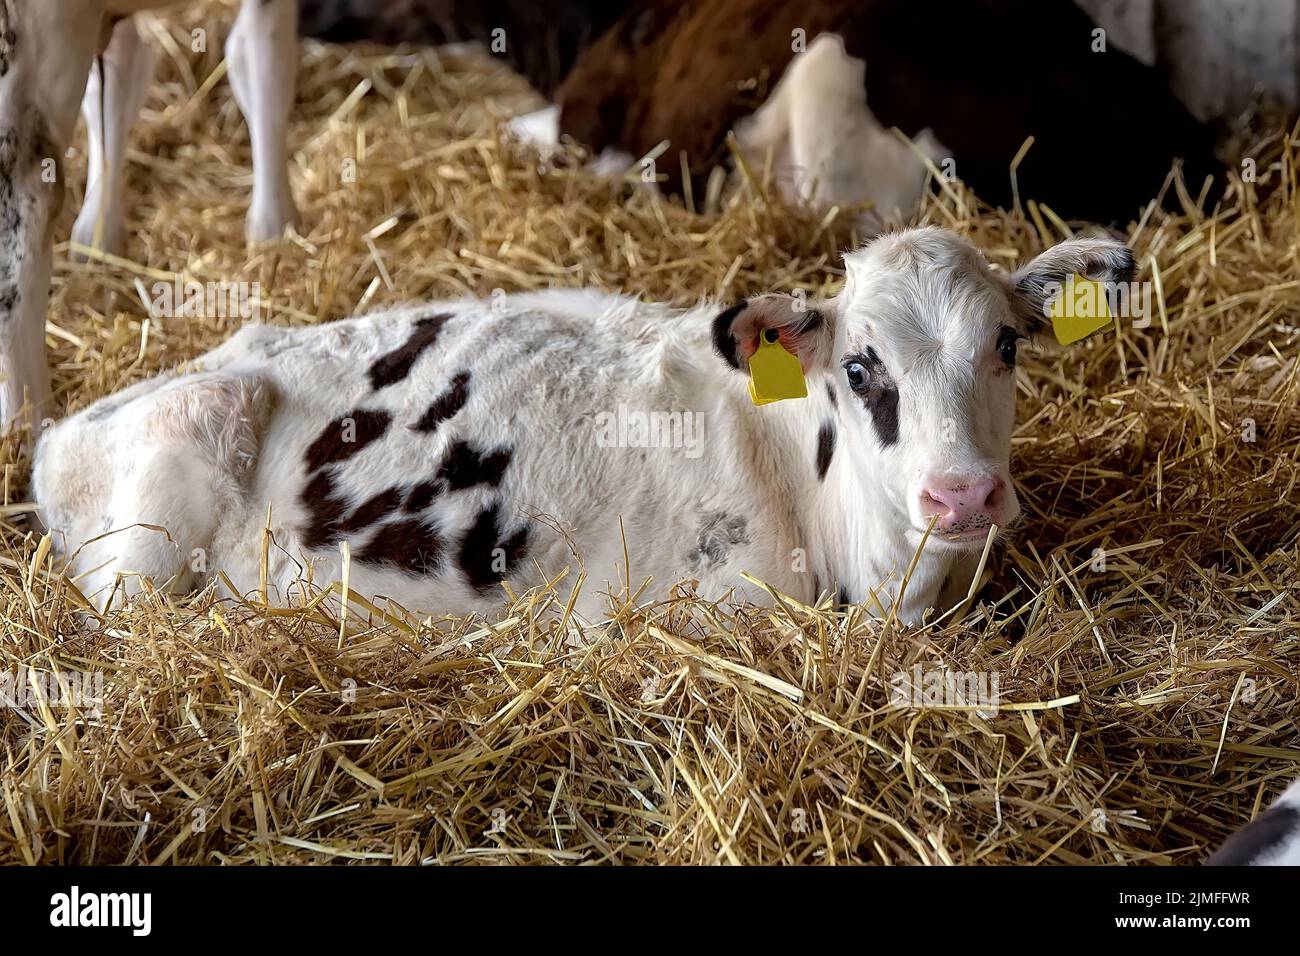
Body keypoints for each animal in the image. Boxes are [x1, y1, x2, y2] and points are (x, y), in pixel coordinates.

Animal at [0, 0, 298, 435]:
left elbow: (119, 77)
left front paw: (98, 237)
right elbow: (266, 60)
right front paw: (275, 225)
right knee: (28, 205)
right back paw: (26, 419)